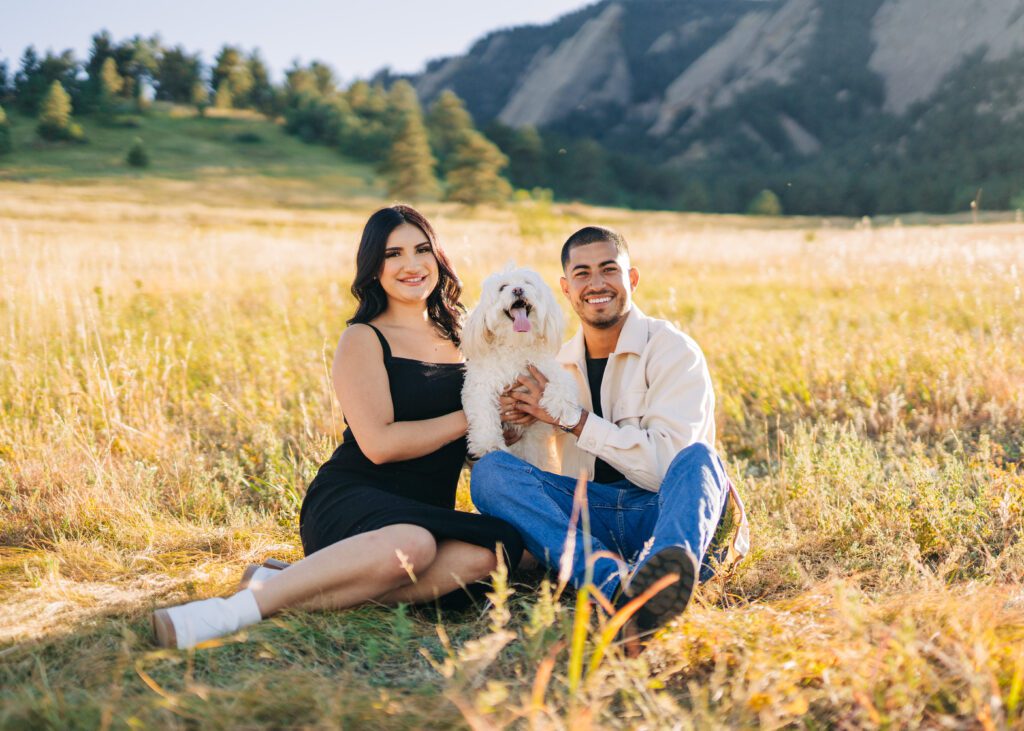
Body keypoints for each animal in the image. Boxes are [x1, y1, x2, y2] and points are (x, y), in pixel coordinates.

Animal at [462, 266, 581, 466]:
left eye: (527, 283)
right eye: (502, 287)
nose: (518, 290)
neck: (516, 343)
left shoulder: (546, 368)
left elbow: (562, 382)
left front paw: (564, 408)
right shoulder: (481, 385)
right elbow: (484, 412)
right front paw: (489, 444)